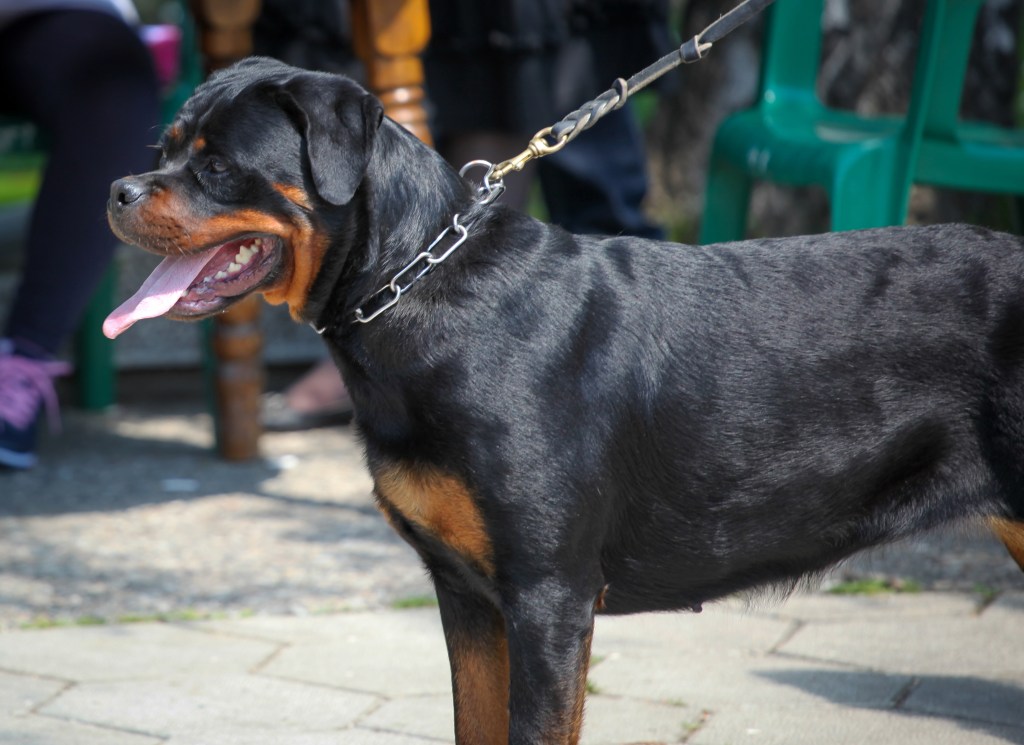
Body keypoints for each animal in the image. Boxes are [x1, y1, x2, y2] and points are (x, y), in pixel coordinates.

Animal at [108, 59, 1019, 745]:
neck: (416, 286)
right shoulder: (468, 595)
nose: (117, 187)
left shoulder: (549, 595)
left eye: (217, 167)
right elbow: (475, 724)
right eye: (164, 148)